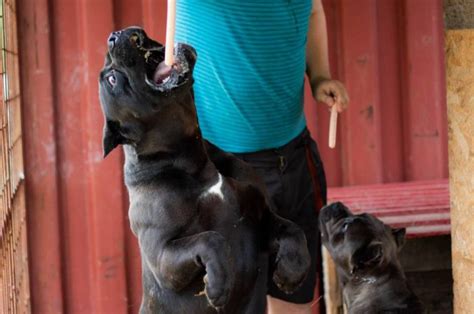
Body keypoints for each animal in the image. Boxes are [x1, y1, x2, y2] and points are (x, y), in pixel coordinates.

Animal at [98, 27, 310, 314]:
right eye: (111, 80)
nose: (116, 34)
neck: (193, 159)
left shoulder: (261, 217)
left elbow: (294, 229)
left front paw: (292, 272)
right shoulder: (163, 255)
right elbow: (211, 239)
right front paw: (218, 285)